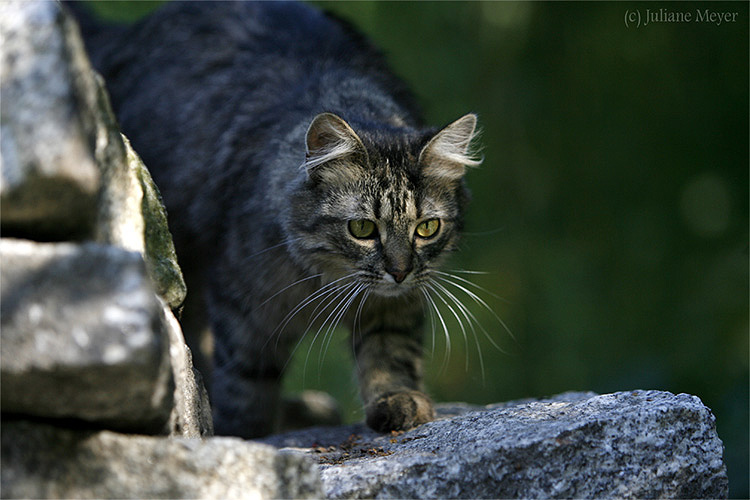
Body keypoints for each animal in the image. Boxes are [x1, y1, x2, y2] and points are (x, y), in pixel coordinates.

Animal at [70, 0, 482, 438]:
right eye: (363, 229)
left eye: (427, 228)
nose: (400, 272)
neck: (325, 280)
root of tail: (128, 31)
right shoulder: (242, 309)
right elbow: (247, 382)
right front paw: (246, 433)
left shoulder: (395, 306)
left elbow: (390, 353)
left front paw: (398, 401)